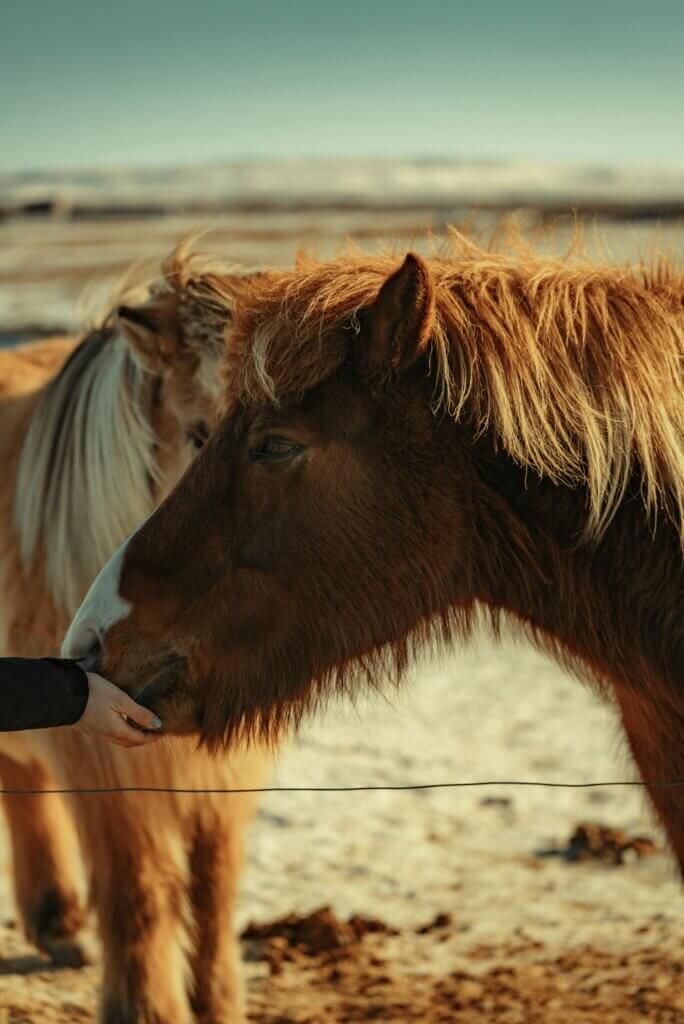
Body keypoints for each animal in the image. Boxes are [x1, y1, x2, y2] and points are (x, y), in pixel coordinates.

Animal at [0, 244, 270, 1023]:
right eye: (200, 434)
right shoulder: (104, 761)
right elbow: (139, 888)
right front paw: (147, 1007)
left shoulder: (221, 767)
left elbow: (213, 883)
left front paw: (219, 1001)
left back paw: (58, 923)